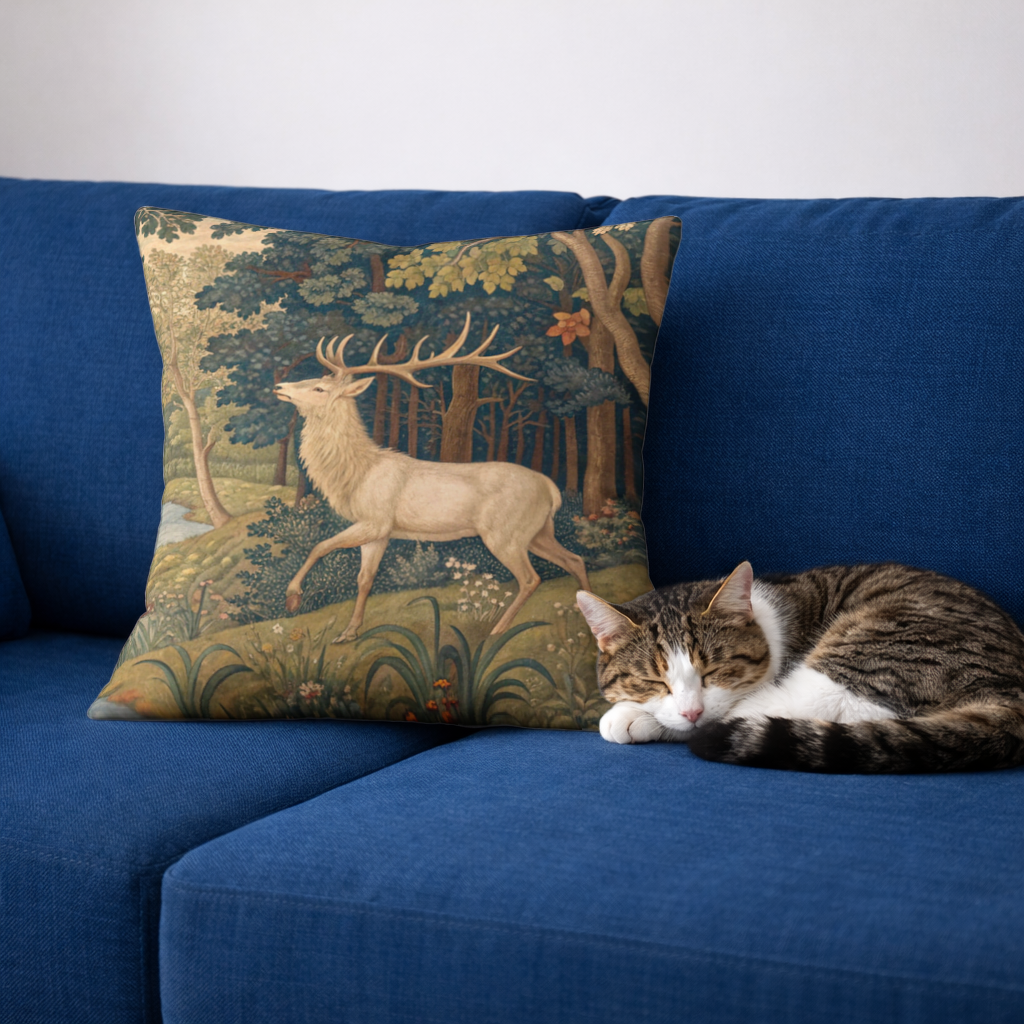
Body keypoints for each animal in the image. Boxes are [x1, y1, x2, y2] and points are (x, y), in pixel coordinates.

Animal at [273, 313, 590, 642]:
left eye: (320, 389)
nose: (279, 386)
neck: (356, 474)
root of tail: (551, 489)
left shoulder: (375, 520)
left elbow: (320, 546)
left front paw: (293, 597)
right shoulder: (380, 531)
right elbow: (365, 578)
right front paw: (349, 633)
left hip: (505, 533)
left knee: (530, 578)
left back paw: (496, 631)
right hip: (538, 531)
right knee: (575, 559)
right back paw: (588, 619)